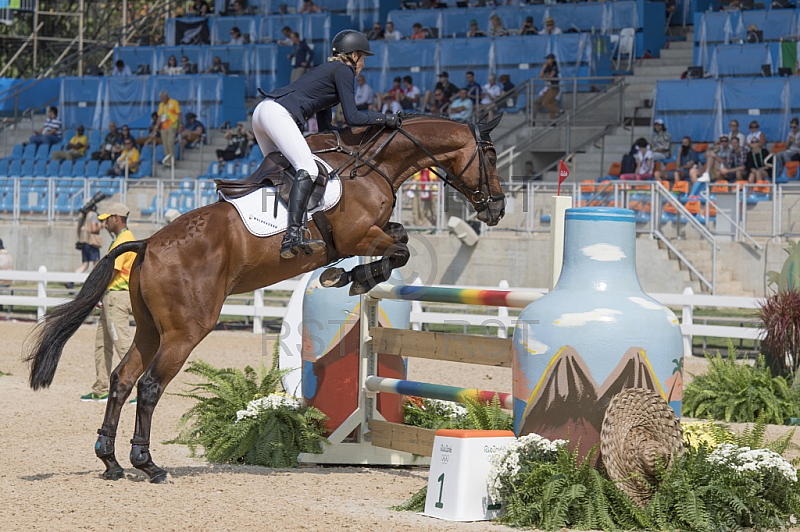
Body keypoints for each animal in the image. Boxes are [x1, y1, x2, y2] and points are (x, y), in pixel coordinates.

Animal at [25, 114, 506, 484]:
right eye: (491, 154)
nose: (498, 208)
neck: (372, 167)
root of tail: (147, 244)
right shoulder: (357, 235)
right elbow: (399, 248)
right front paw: (350, 276)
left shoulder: (372, 232)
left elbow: (400, 238)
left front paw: (350, 275)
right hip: (184, 331)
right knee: (148, 386)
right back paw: (149, 465)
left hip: (148, 328)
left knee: (122, 380)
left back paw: (110, 461)